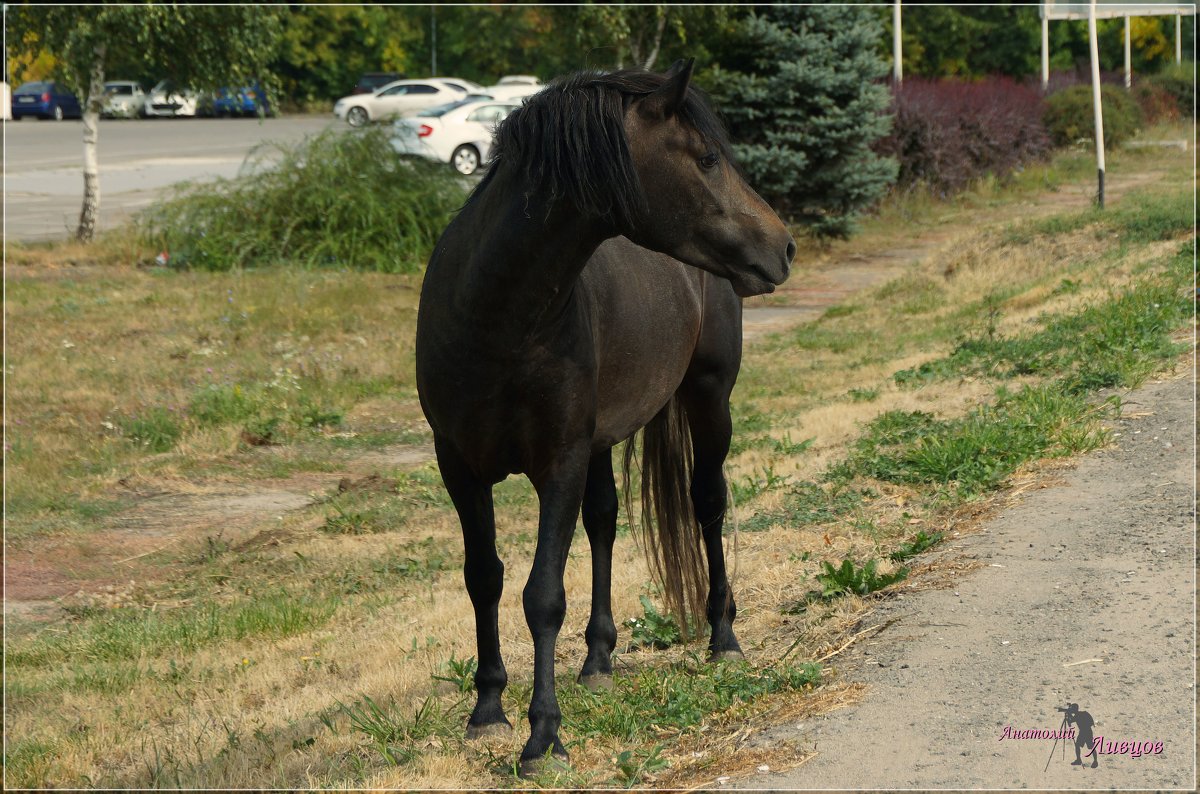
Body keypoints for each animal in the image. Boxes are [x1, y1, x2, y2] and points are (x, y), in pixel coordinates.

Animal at [415, 62, 796, 777]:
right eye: (707, 158)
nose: (783, 245)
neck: (494, 318)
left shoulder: (557, 461)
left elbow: (542, 595)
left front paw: (543, 738)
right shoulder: (460, 465)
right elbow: (484, 578)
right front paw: (488, 709)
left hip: (709, 399)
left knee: (708, 503)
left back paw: (723, 637)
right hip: (598, 442)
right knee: (603, 523)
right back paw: (597, 659)